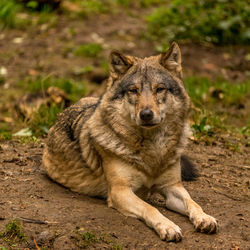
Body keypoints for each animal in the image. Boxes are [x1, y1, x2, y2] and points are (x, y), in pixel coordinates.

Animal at [42, 42, 217, 241]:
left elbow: (193, 203)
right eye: (134, 90)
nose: (146, 114)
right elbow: (151, 208)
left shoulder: (173, 186)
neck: (153, 149)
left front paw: (204, 218)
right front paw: (168, 226)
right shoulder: (120, 191)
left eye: (160, 89)